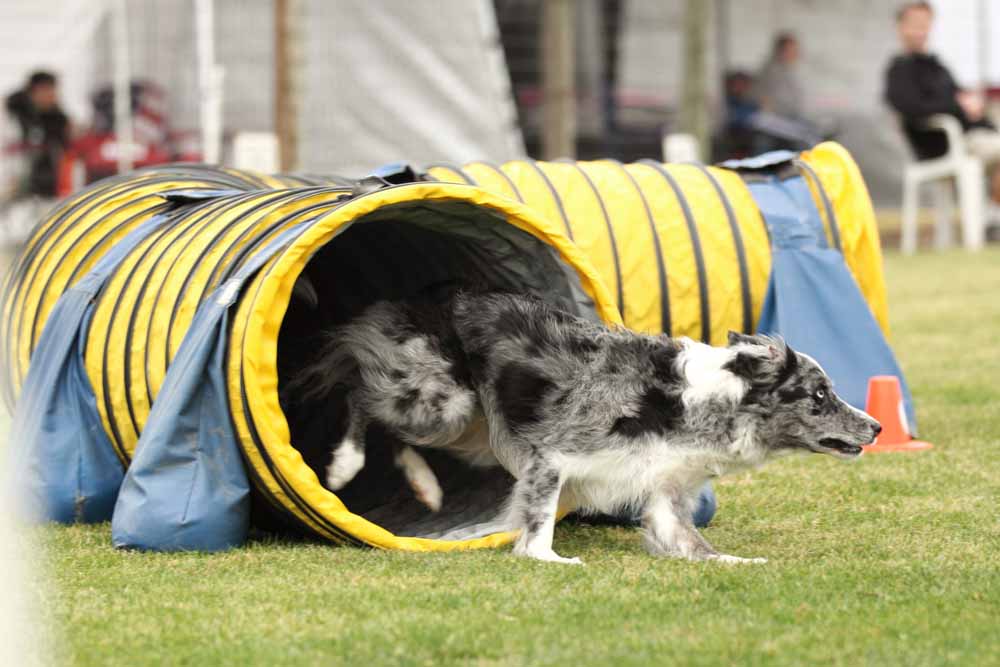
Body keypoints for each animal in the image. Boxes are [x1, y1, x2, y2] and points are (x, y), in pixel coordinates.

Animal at [290, 290, 881, 564]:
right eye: (820, 394)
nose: (875, 427)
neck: (704, 404)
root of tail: (417, 294)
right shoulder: (553, 456)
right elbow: (539, 525)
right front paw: (549, 558)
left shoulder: (667, 492)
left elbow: (697, 545)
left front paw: (744, 562)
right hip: (444, 401)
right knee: (357, 391)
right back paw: (343, 467)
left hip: (470, 426)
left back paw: (426, 486)